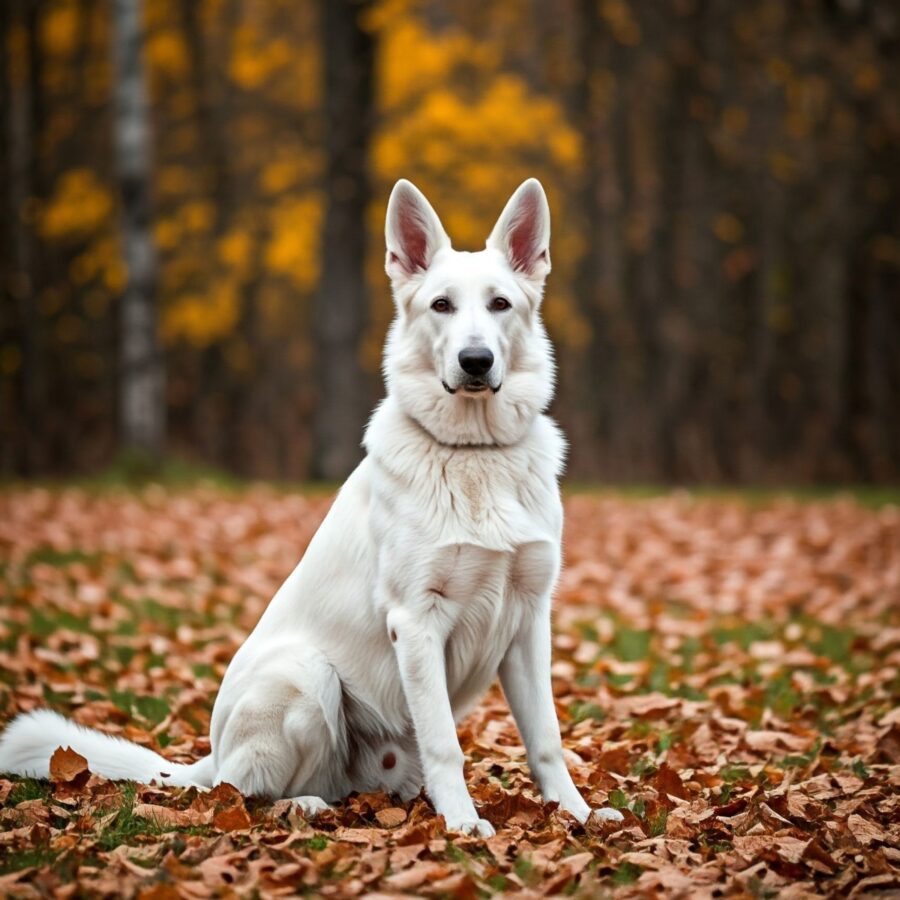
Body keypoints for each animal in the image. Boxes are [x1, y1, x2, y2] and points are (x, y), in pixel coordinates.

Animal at [0, 178, 620, 836]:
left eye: (500, 304)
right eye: (441, 306)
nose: (475, 361)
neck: (473, 455)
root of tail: (208, 756)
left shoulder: (529, 621)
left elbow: (546, 739)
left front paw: (575, 813)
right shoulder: (417, 621)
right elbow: (446, 744)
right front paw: (461, 825)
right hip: (304, 675)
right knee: (242, 792)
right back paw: (301, 808)